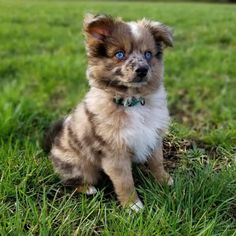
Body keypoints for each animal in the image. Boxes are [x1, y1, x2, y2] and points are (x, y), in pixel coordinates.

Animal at [44, 13, 173, 211]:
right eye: (119, 54)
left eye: (148, 54)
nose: (143, 70)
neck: (133, 102)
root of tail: (52, 146)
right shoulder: (114, 152)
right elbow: (125, 181)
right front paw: (133, 205)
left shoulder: (154, 136)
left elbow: (158, 162)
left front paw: (164, 180)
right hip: (80, 166)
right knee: (69, 181)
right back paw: (88, 189)